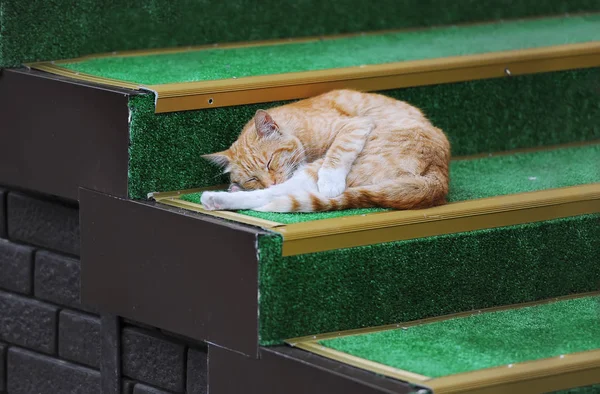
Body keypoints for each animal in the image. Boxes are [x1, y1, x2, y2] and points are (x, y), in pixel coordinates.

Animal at [202, 89, 450, 212]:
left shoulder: (355, 124)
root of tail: (439, 178)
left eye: (269, 162)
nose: (270, 181)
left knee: (277, 193)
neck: (298, 130)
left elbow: (338, 152)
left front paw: (330, 180)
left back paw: (216, 198)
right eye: (252, 178)